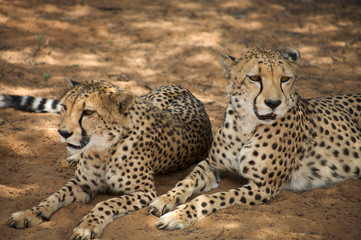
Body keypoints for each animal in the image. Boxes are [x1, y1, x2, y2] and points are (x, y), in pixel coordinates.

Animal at [4, 80, 212, 238]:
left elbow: (105, 203)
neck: (102, 149)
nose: (63, 133)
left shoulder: (145, 192)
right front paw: (29, 214)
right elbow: (54, 196)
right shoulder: (82, 183)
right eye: (64, 107)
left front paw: (86, 226)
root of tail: (188, 91)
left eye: (88, 112)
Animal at [147, 48, 360, 231]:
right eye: (255, 78)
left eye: (285, 79)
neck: (245, 127)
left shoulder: (263, 187)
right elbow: (186, 180)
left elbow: (211, 198)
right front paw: (166, 199)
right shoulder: (211, 165)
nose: (274, 103)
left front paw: (179, 216)